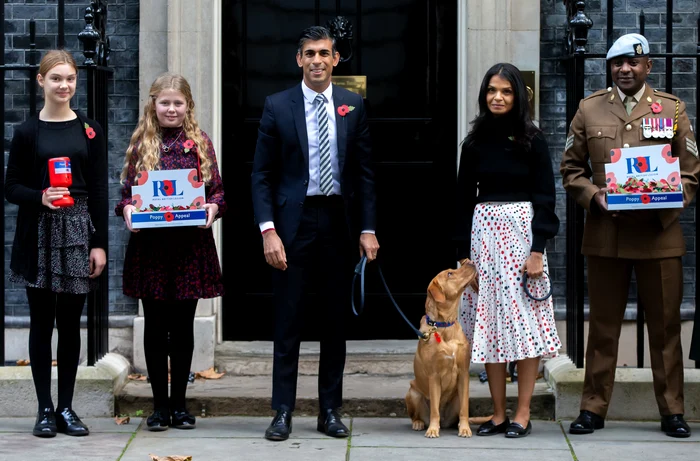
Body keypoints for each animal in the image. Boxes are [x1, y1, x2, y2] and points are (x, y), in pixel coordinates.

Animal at [404, 260, 486, 436]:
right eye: (449, 273)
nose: (470, 262)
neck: (445, 324)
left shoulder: (463, 373)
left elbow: (464, 410)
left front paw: (465, 429)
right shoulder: (434, 376)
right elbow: (434, 409)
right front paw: (433, 430)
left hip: (457, 397)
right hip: (413, 393)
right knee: (418, 415)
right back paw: (419, 423)